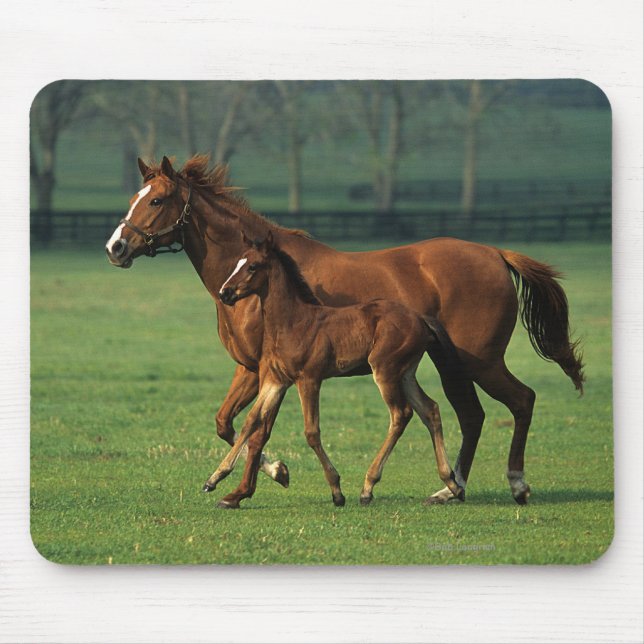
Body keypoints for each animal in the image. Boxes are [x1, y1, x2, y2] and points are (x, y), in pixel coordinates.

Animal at [200, 230, 467, 508]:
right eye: (237, 263)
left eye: (252, 266)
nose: (225, 292)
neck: (292, 322)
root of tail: (420, 318)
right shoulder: (276, 380)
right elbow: (251, 421)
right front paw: (214, 480)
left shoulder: (308, 379)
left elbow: (311, 432)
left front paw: (337, 490)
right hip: (405, 374)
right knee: (430, 409)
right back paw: (451, 483)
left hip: (385, 370)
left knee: (401, 414)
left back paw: (368, 487)